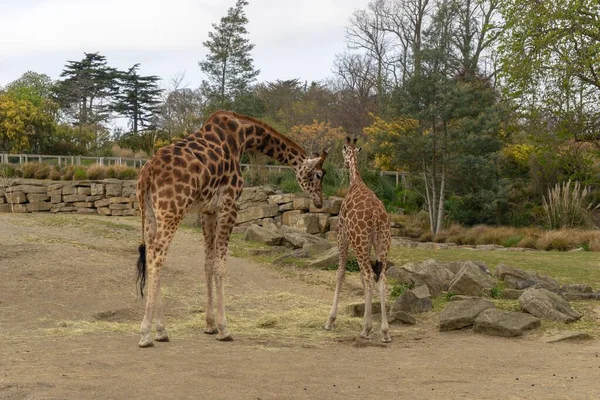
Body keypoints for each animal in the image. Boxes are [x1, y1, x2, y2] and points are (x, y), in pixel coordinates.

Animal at [135, 110, 328, 346]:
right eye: (319, 175)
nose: (319, 202)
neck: (243, 136)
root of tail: (147, 172)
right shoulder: (229, 204)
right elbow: (221, 266)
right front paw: (224, 329)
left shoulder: (208, 210)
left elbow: (208, 263)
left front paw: (209, 325)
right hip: (172, 210)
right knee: (157, 256)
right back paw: (146, 334)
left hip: (149, 212)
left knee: (151, 254)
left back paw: (161, 331)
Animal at [326, 137, 392, 340]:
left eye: (343, 151)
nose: (344, 164)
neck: (356, 182)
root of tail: (377, 216)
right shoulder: (367, 244)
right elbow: (363, 279)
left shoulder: (342, 235)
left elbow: (340, 273)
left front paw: (330, 321)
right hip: (382, 243)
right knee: (381, 277)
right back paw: (385, 331)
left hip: (359, 242)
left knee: (369, 275)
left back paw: (367, 329)